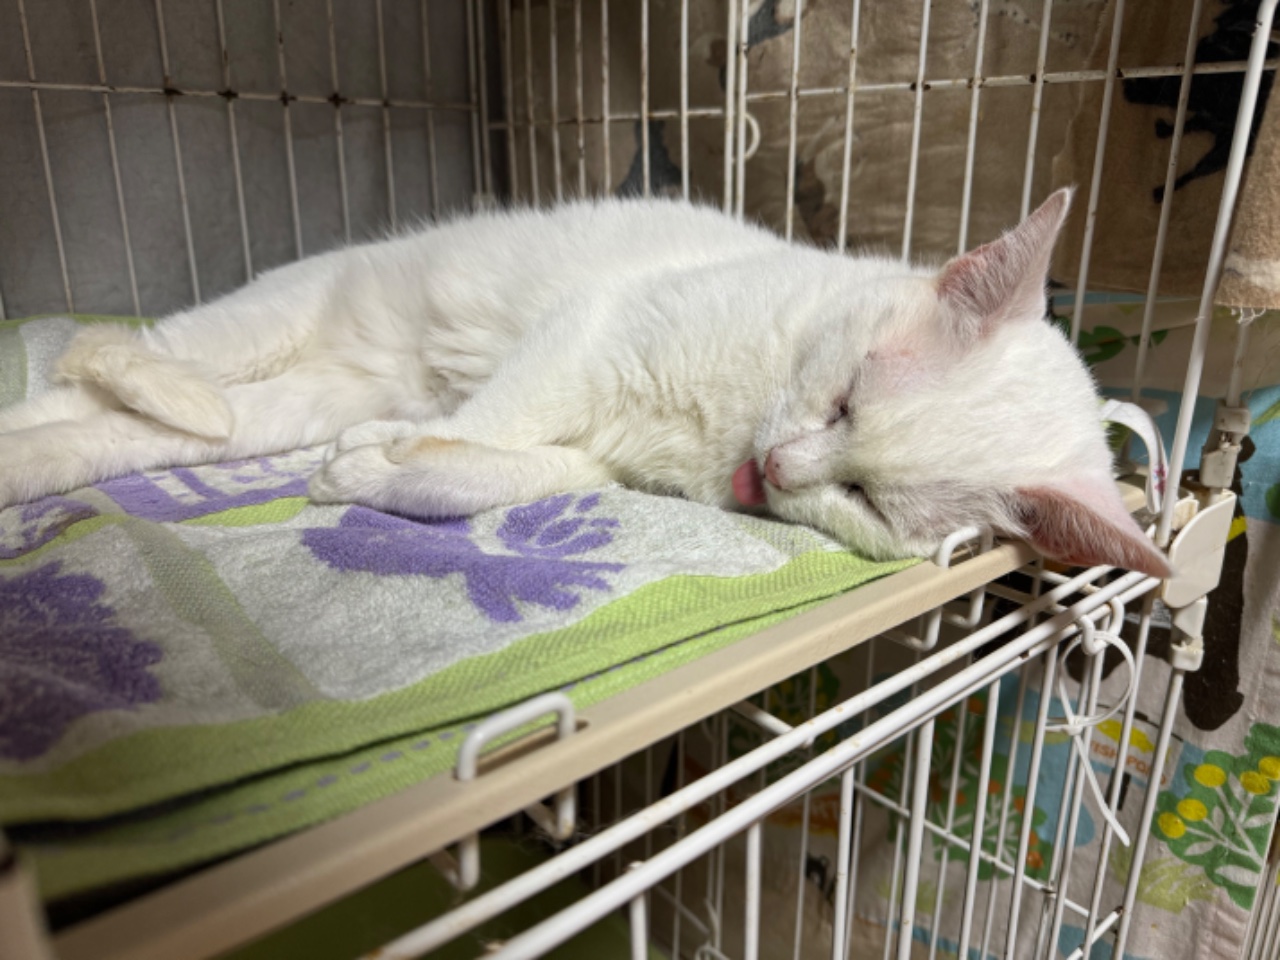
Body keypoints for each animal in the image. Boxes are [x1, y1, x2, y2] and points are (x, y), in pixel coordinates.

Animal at [0, 188, 1170, 577]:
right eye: (841, 399)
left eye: (868, 502)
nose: (782, 467)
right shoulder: (585, 338)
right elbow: (492, 423)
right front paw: (378, 464)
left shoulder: (592, 456)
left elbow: (494, 471)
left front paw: (377, 466)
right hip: (264, 325)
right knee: (103, 357)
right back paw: (161, 382)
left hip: (278, 405)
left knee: (86, 423)